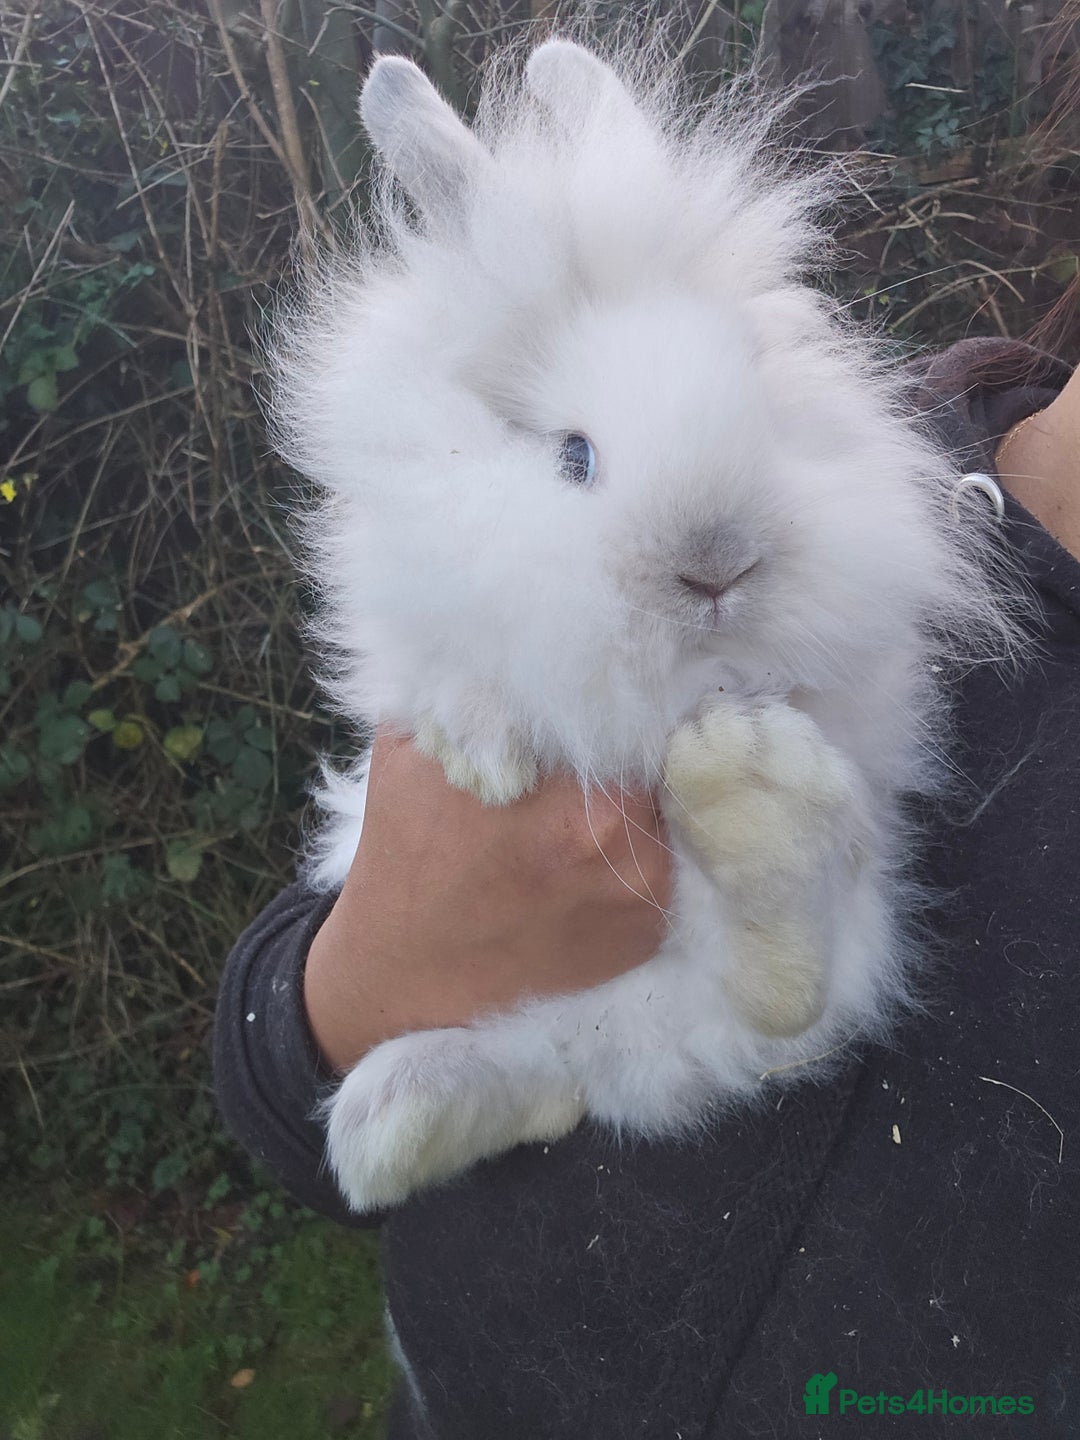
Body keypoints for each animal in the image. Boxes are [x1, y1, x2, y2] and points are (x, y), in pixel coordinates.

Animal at [265, 25, 1019, 1215]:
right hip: (544, 1043)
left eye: (760, 408)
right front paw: (484, 757)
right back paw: (396, 1127)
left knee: (789, 995)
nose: (716, 565)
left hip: (818, 930)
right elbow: (453, 666)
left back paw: (743, 779)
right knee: (549, 1082)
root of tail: (644, 1051)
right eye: (574, 458)